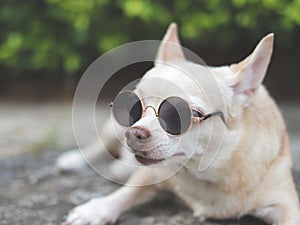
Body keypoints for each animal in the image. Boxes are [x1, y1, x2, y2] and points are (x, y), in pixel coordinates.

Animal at [62, 23, 298, 224]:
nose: (135, 132)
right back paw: (74, 159)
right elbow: (128, 191)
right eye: (135, 107)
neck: (205, 173)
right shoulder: (153, 172)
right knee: (100, 145)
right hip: (114, 129)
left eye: (185, 114)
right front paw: (96, 210)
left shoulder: (286, 204)